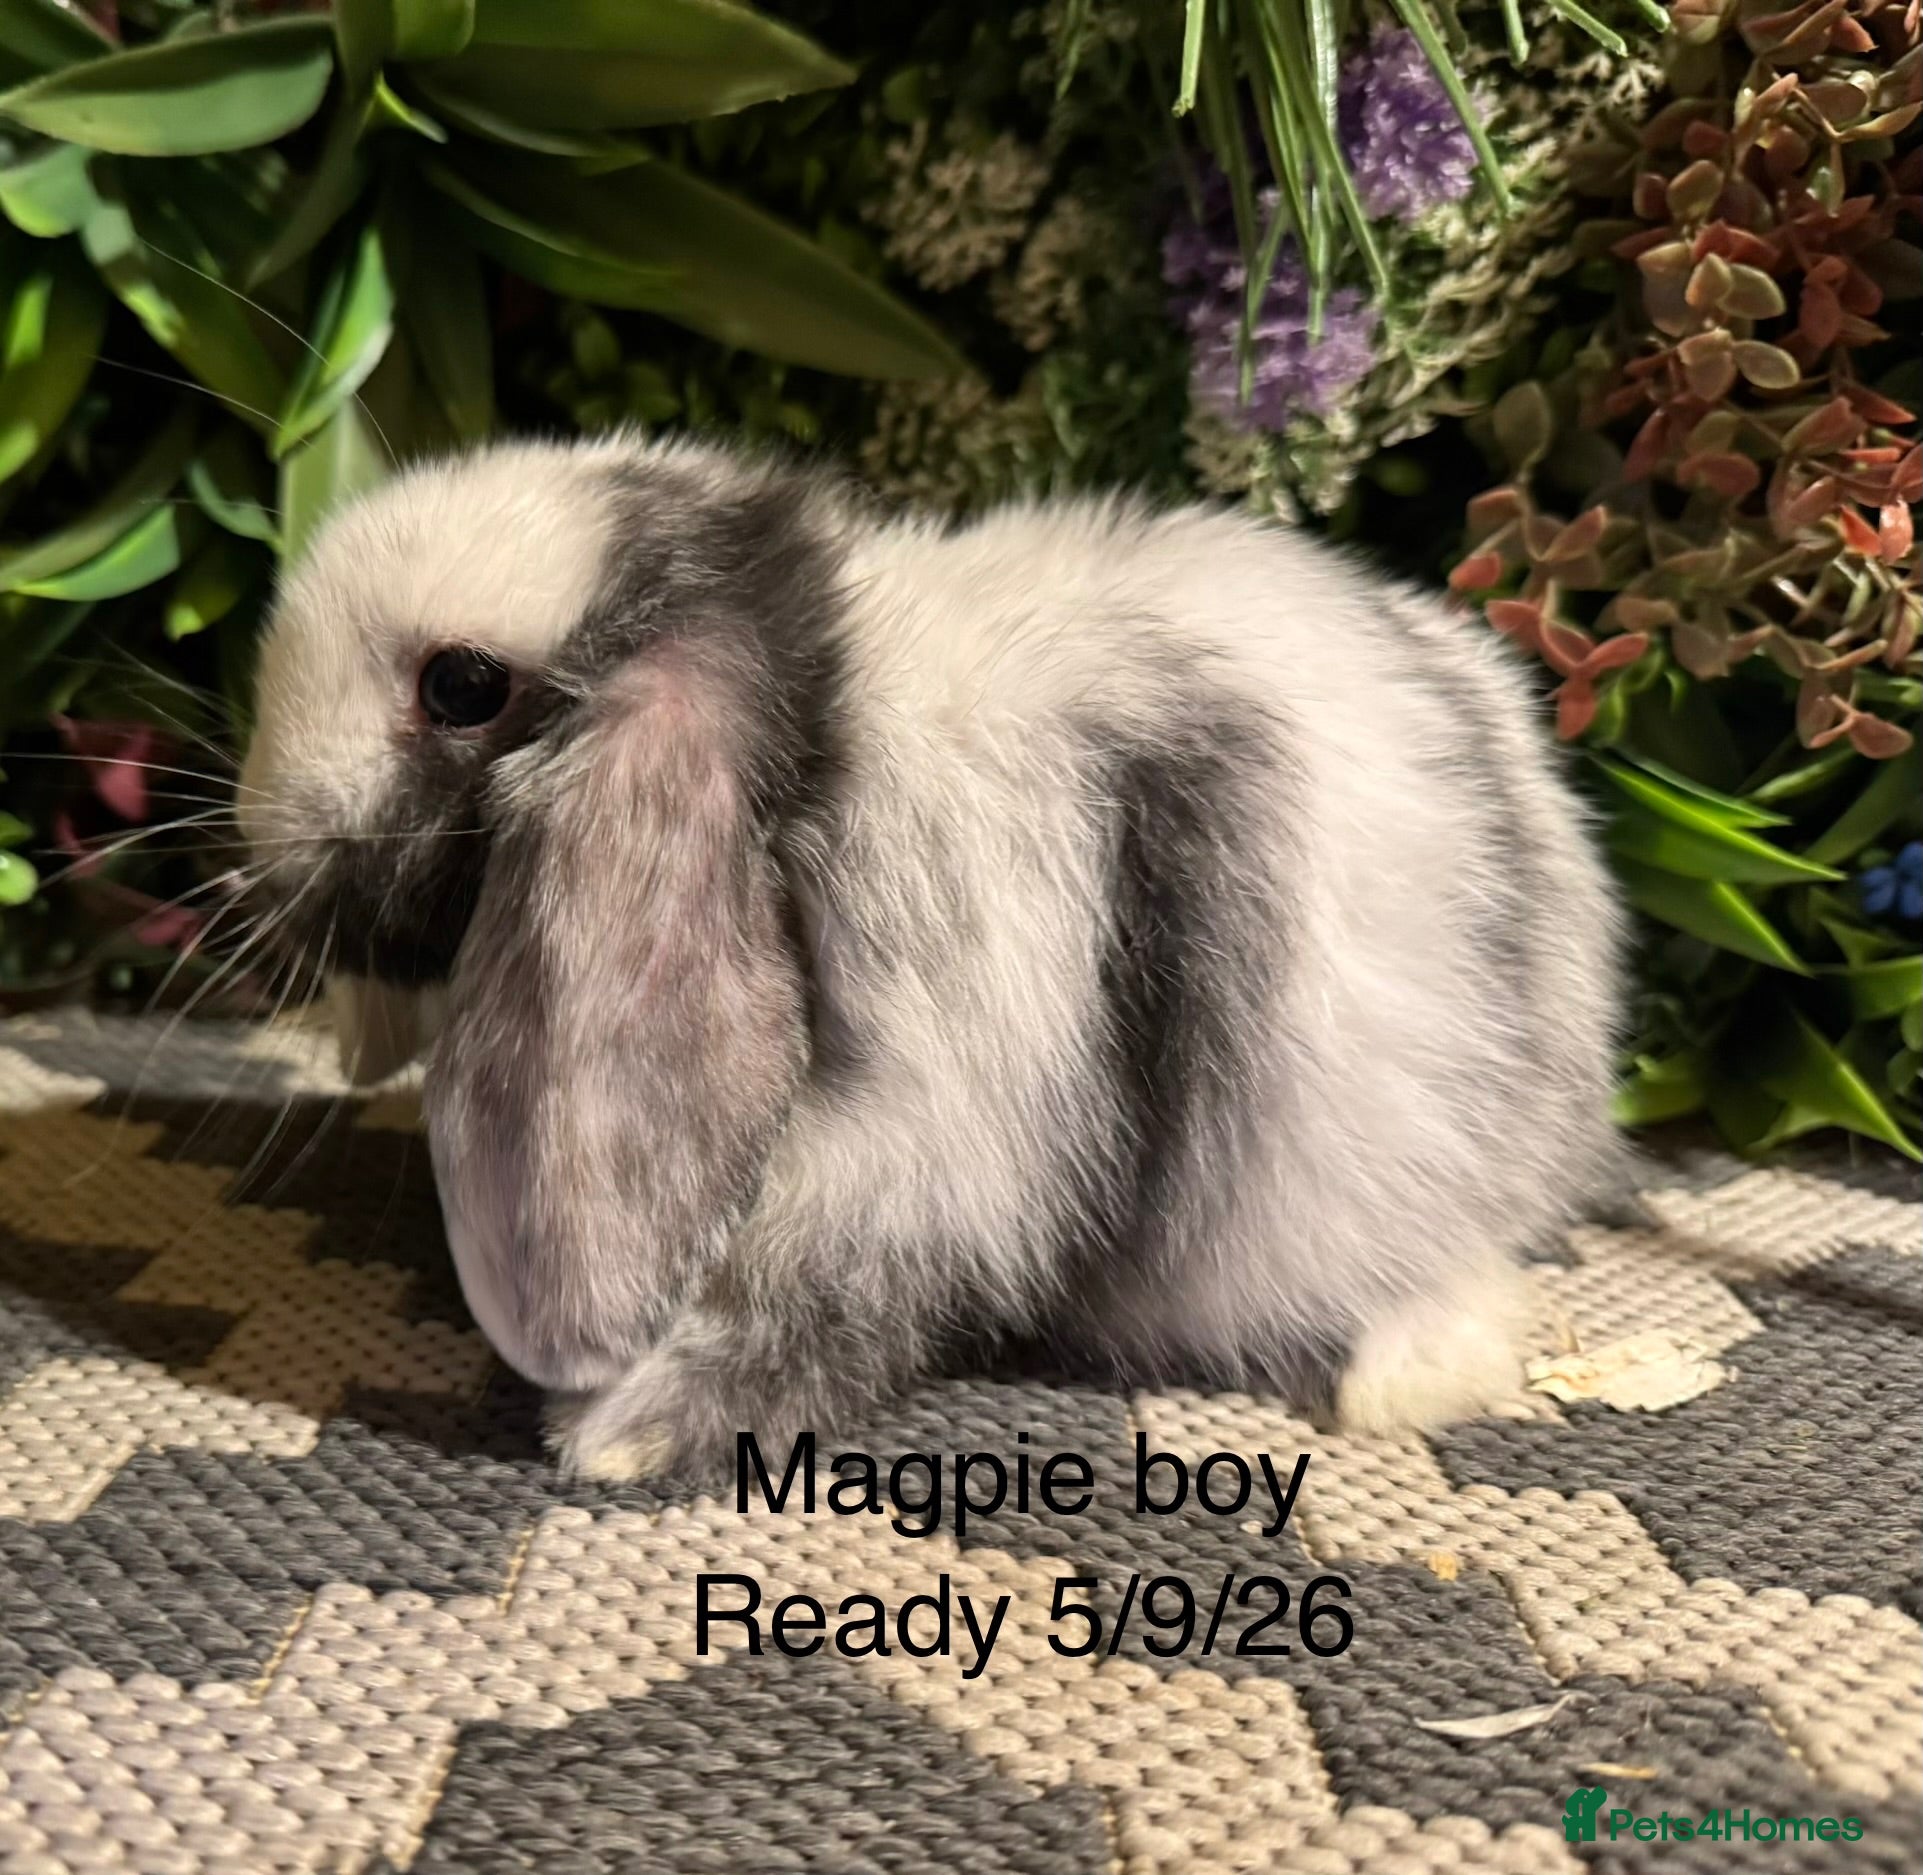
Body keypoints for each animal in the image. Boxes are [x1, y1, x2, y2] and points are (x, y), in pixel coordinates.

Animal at [236, 433, 1625, 1481]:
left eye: (464, 686)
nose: (263, 847)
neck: (831, 730)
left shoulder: (918, 1129)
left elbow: (817, 1289)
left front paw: (623, 1434)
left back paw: (1398, 1377)